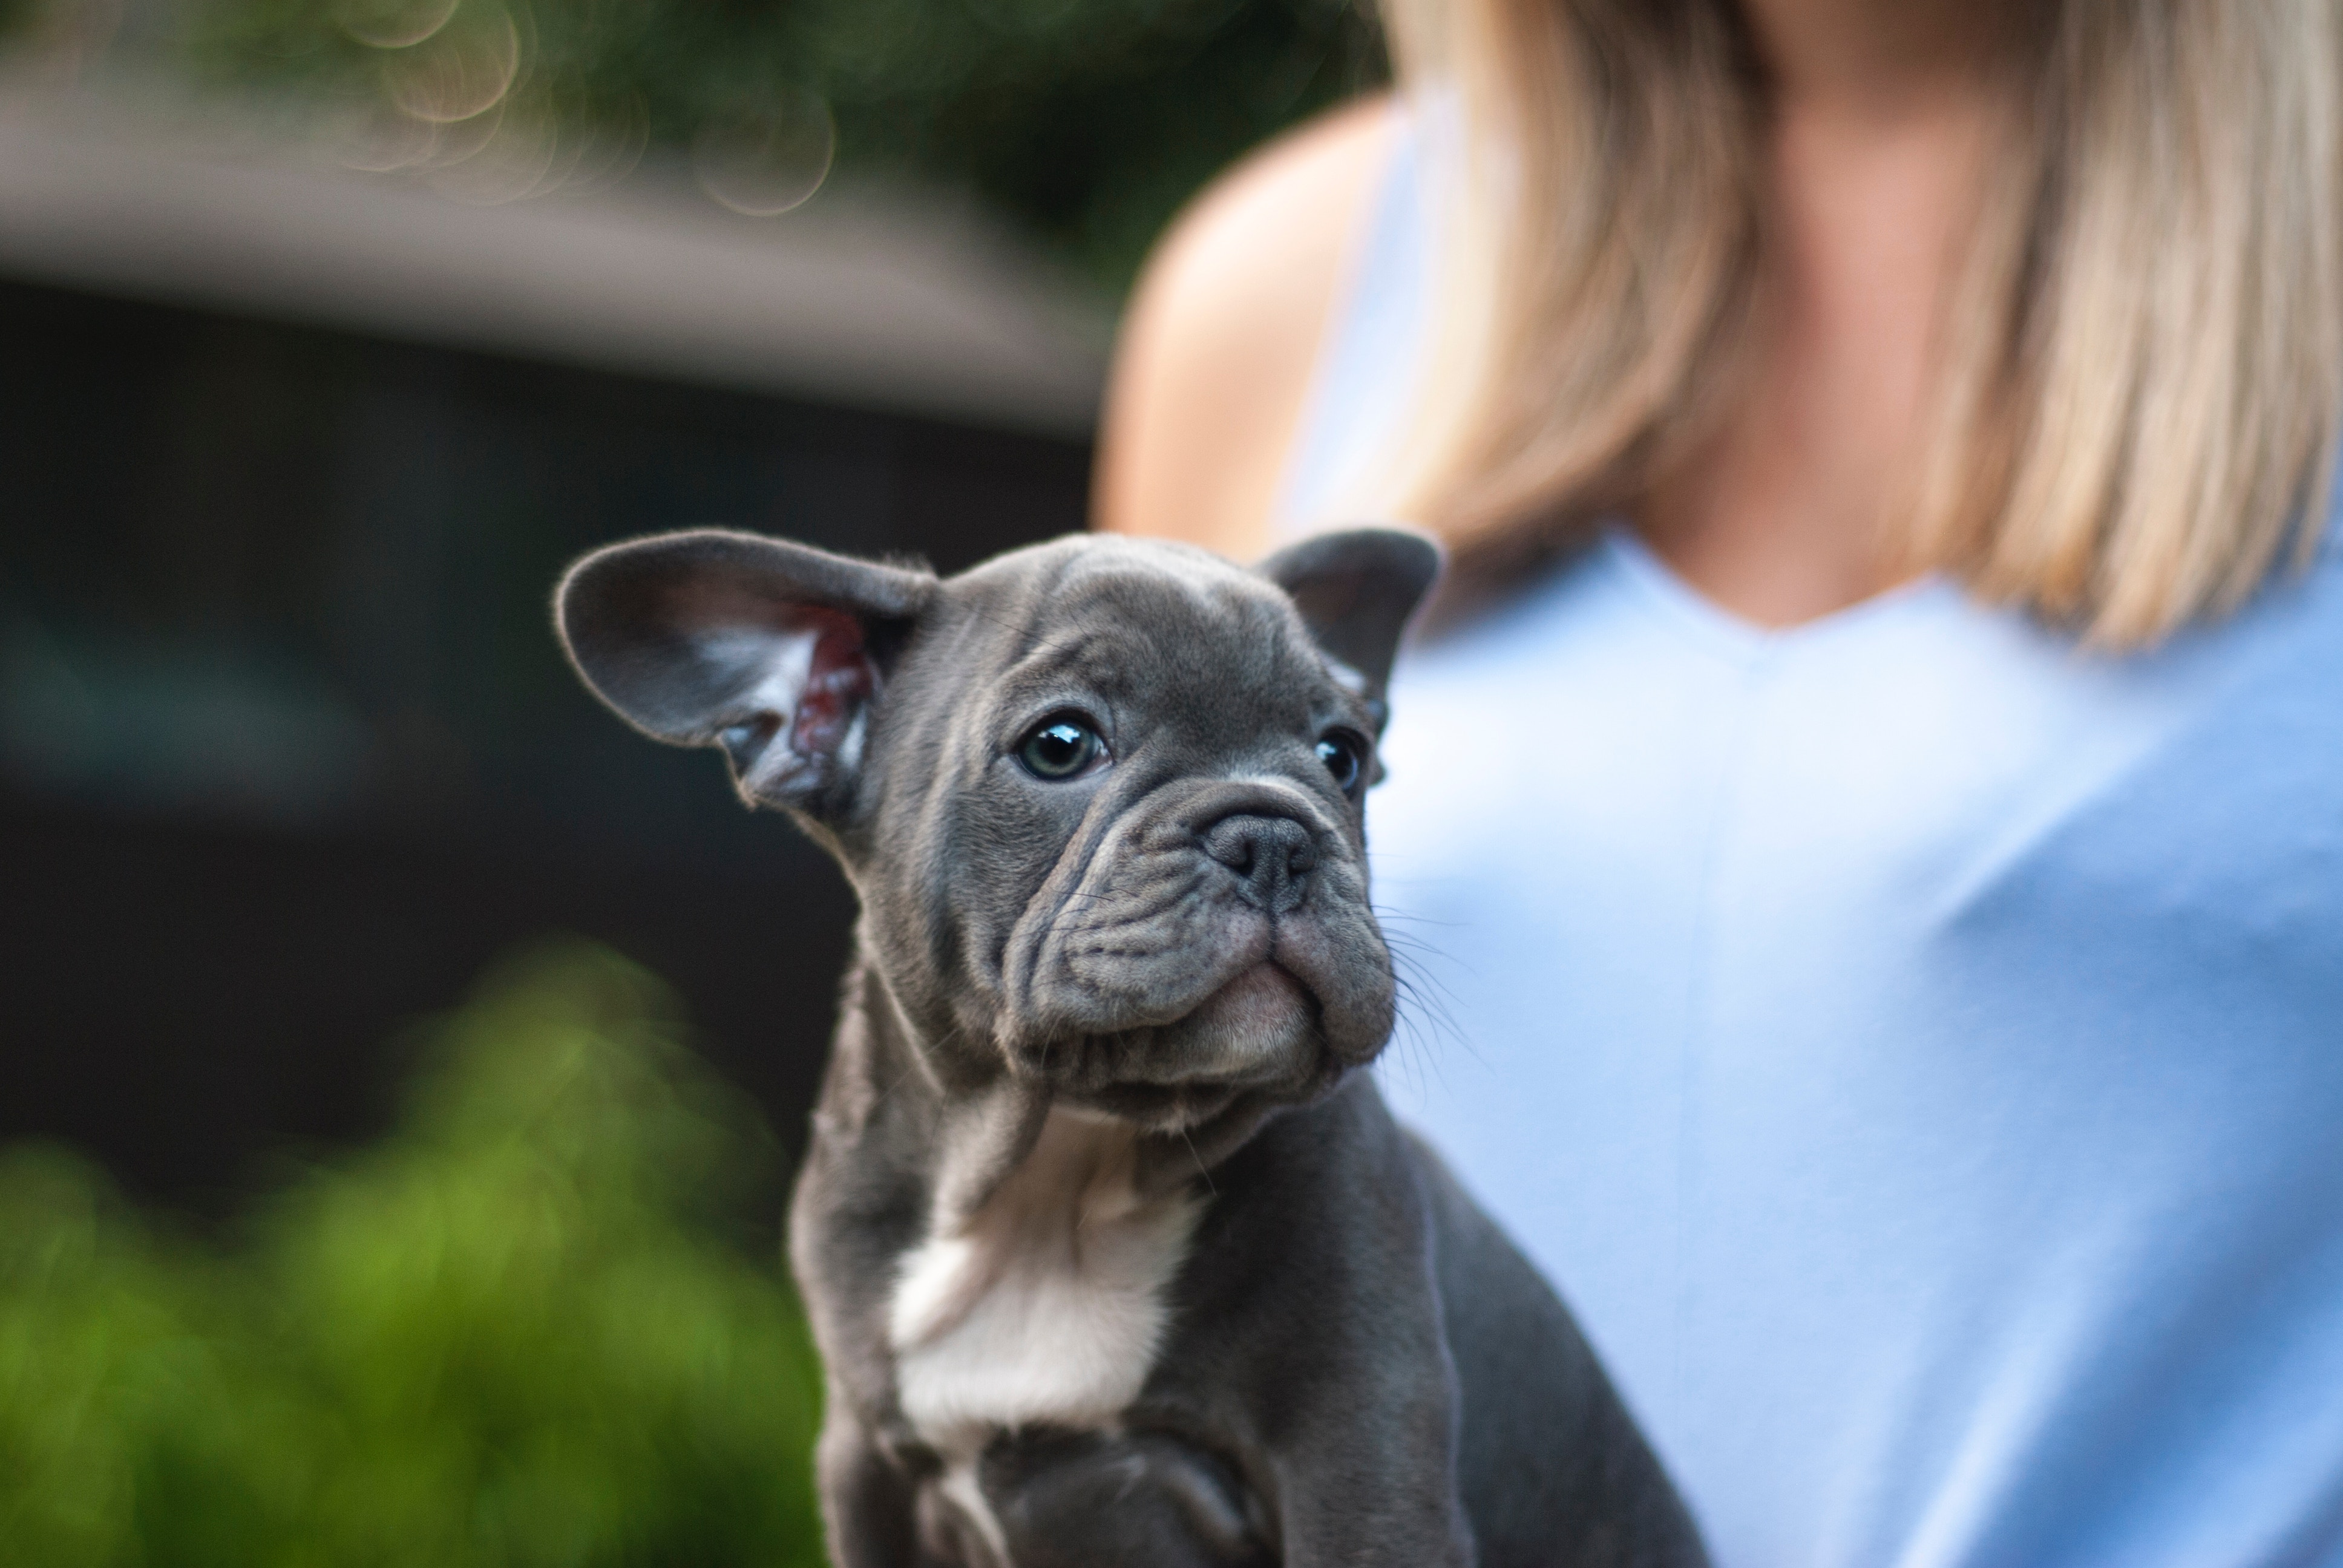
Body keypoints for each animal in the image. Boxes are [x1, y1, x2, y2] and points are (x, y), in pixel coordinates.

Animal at [557, 529, 1715, 1566]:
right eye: (1061, 744)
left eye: (1342, 757)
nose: (1273, 834)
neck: (1053, 1178)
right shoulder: (867, 1473)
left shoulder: (1363, 1468)